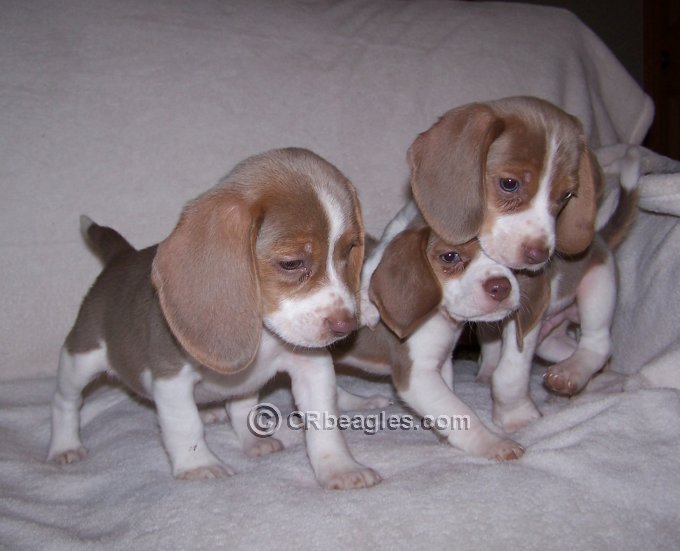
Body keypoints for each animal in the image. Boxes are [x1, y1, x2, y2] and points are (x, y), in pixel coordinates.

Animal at [46, 148, 382, 492]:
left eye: (350, 250)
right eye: (291, 263)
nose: (346, 325)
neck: (263, 333)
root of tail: (121, 257)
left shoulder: (312, 367)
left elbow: (323, 423)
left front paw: (340, 467)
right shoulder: (171, 378)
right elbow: (185, 425)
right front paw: (199, 466)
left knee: (240, 408)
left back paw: (252, 439)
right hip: (80, 360)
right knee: (65, 401)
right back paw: (64, 445)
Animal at [334, 205, 524, 464]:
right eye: (450, 257)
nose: (501, 287)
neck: (441, 318)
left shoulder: (442, 363)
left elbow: (447, 407)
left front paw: (445, 436)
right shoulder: (417, 376)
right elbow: (459, 409)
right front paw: (493, 443)